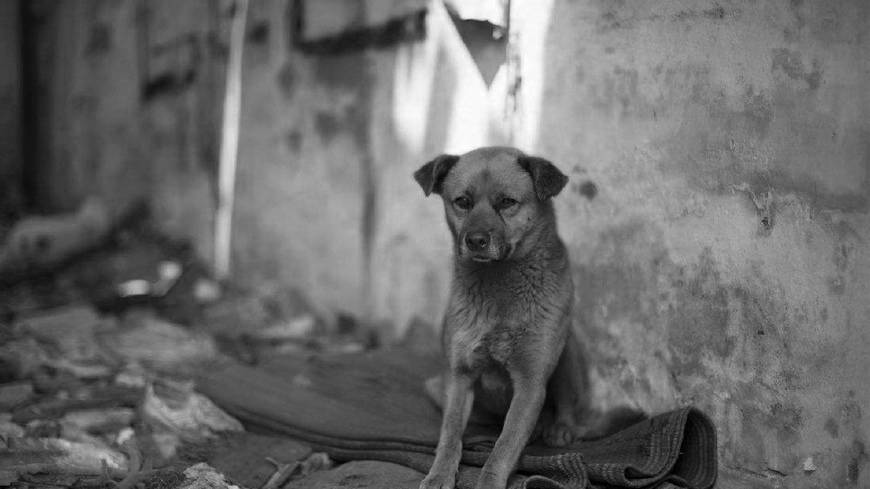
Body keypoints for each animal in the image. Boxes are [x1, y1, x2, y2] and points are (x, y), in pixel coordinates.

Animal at [416, 146, 620, 488]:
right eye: (462, 202)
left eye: (507, 202)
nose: (475, 240)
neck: (499, 285)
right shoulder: (460, 376)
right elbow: (450, 434)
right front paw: (440, 473)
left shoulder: (530, 383)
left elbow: (504, 445)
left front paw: (489, 482)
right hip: (435, 386)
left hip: (566, 356)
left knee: (566, 409)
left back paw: (559, 430)